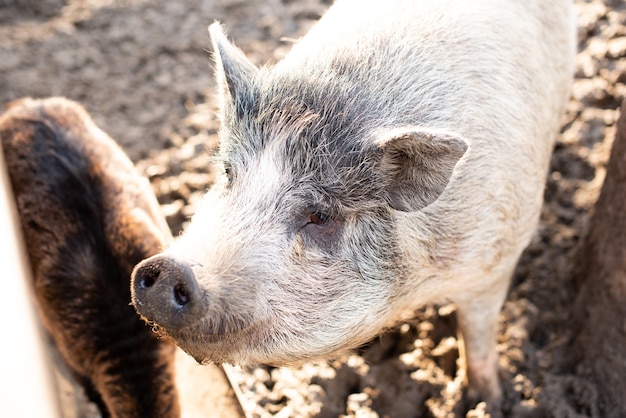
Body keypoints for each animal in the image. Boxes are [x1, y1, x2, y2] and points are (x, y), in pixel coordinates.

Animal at [132, 0, 576, 406]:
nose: (169, 268)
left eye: (320, 214)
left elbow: (478, 332)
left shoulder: (495, 258)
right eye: (228, 174)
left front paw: (487, 401)